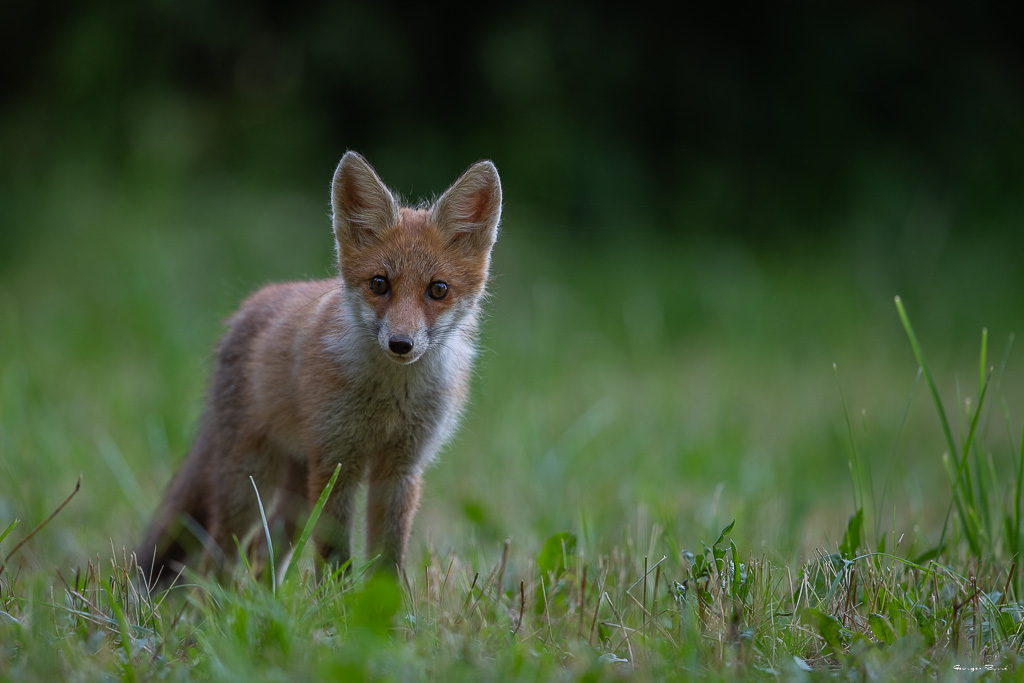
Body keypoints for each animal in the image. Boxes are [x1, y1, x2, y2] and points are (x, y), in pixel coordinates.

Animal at [137, 152, 502, 587]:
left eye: (438, 289)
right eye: (379, 284)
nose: (401, 344)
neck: (390, 399)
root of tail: (247, 308)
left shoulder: (401, 470)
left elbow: (389, 558)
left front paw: (388, 605)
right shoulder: (335, 463)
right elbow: (334, 557)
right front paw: (340, 603)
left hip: (295, 490)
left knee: (261, 548)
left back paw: (265, 601)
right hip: (250, 483)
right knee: (217, 557)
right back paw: (217, 604)